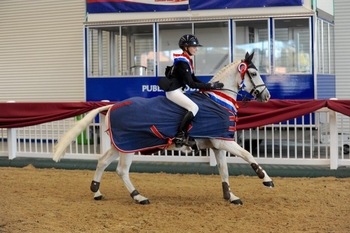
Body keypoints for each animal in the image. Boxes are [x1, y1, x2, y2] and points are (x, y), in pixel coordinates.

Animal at [53, 52, 274, 205]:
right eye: (253, 73)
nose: (267, 96)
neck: (219, 100)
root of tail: (113, 106)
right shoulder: (224, 141)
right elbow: (248, 155)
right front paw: (266, 180)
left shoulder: (217, 145)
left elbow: (225, 171)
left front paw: (231, 196)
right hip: (129, 145)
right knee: (121, 170)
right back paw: (139, 197)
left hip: (120, 145)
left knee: (102, 161)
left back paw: (97, 191)